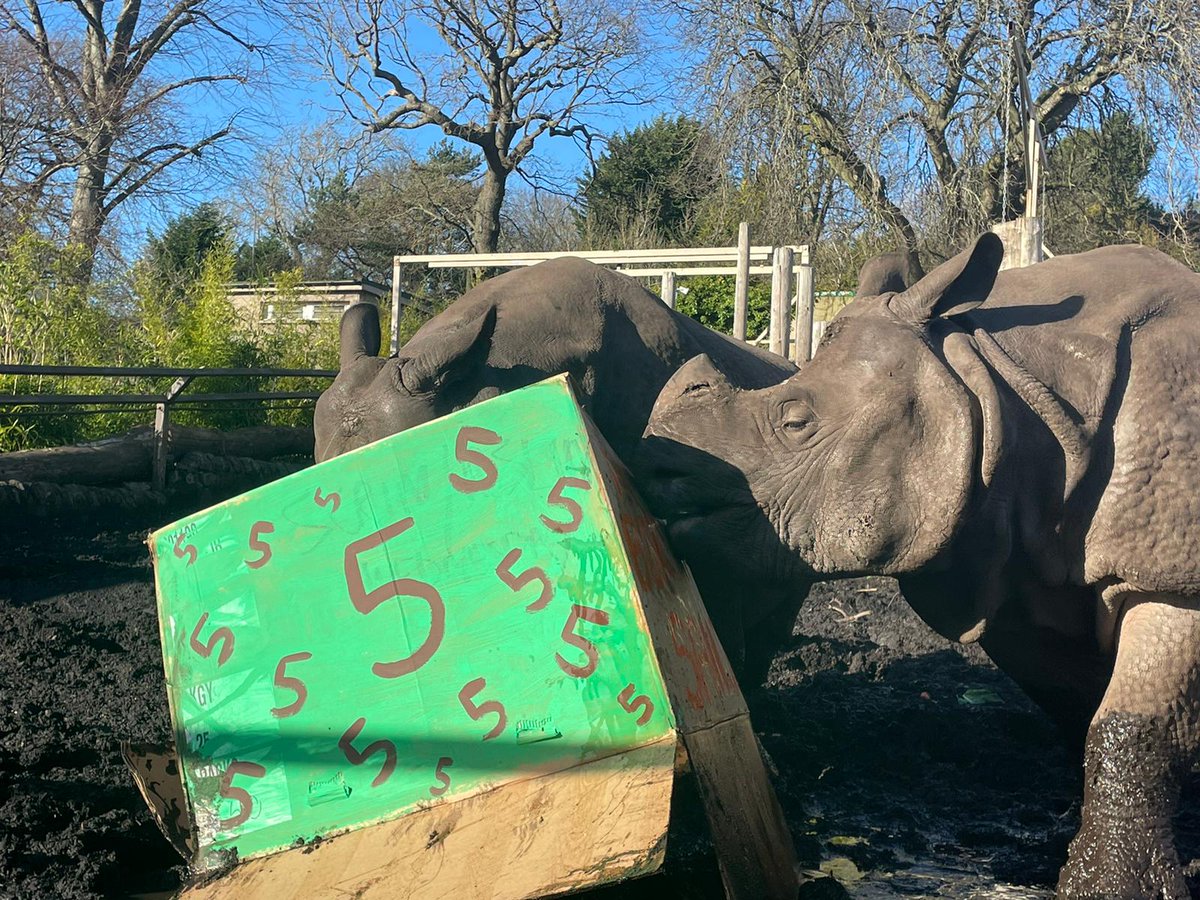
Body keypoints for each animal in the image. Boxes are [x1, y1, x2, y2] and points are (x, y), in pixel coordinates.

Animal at [637, 233, 1200, 898]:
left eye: (796, 423)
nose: (653, 464)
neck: (998, 380)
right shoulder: (1012, 567)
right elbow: (1078, 705)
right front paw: (1070, 841)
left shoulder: (1172, 577)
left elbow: (1132, 728)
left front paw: (1109, 886)